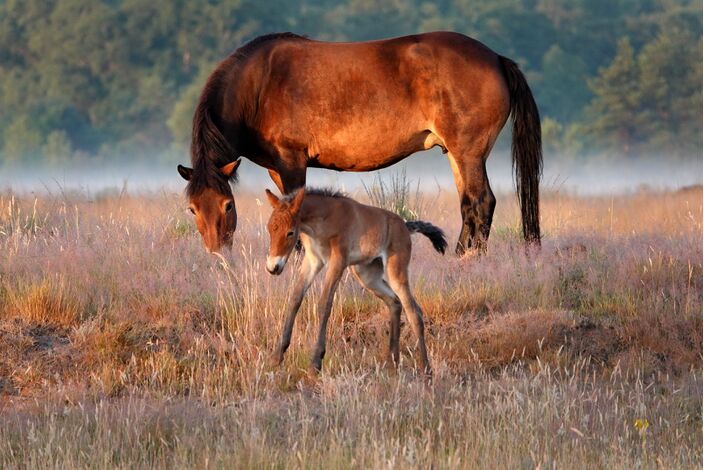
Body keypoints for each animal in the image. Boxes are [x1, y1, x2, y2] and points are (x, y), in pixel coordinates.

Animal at [179, 31, 540, 255]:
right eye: (192, 208)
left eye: (228, 205)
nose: (217, 252)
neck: (259, 86)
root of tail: (495, 58)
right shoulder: (276, 169)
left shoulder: (292, 161)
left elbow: (295, 209)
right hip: (456, 154)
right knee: (468, 204)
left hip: (469, 153)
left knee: (482, 202)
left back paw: (466, 259)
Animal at [264, 186, 446, 374]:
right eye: (270, 228)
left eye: (290, 232)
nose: (273, 267)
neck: (324, 219)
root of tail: (405, 225)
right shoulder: (313, 261)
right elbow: (295, 298)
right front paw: (277, 356)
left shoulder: (338, 262)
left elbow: (324, 303)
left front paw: (315, 362)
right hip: (367, 277)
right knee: (395, 302)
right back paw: (392, 362)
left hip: (396, 273)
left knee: (414, 312)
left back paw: (426, 369)